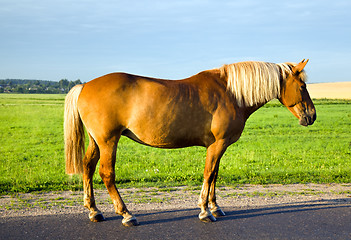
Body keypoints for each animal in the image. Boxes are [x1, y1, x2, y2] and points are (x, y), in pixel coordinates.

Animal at [64, 59, 318, 226]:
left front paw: (215, 207)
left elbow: (214, 175)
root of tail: (85, 86)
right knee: (106, 174)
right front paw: (205, 211)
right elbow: (208, 174)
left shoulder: (219, 146)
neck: (231, 93)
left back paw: (94, 211)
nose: (311, 116)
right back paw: (126, 213)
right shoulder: (217, 144)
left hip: (96, 142)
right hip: (108, 141)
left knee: (88, 167)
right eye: (303, 86)